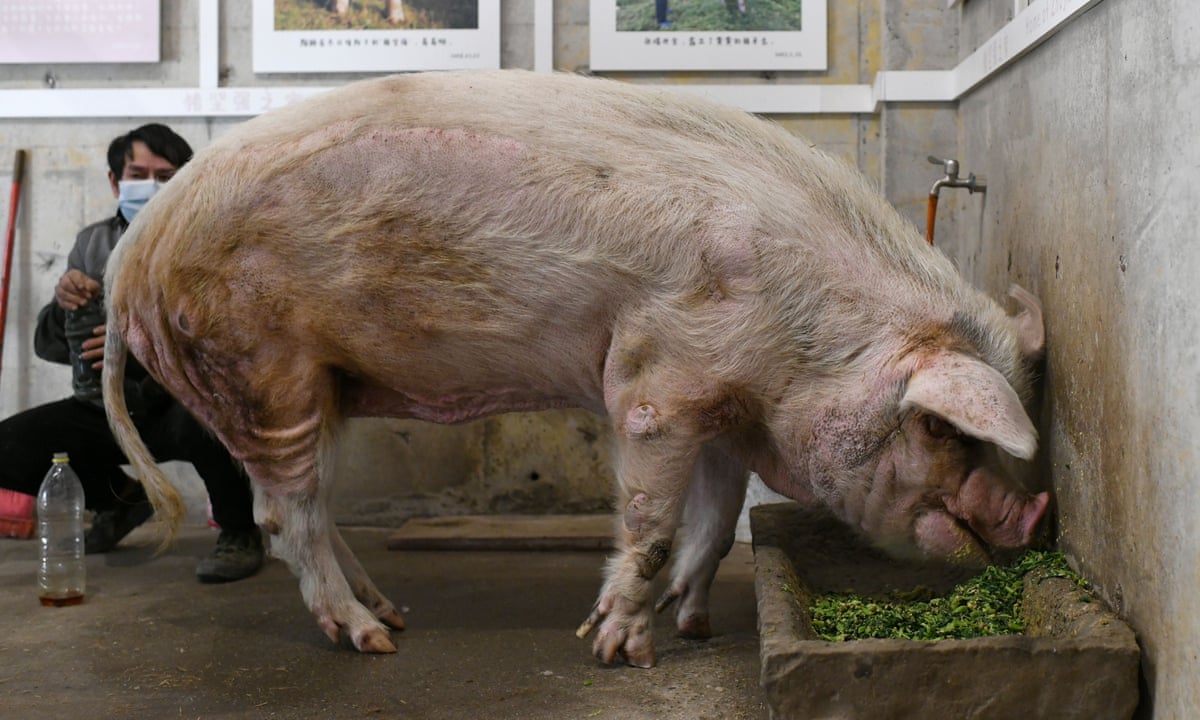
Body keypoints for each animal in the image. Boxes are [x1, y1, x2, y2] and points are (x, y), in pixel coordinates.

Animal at [102, 69, 1048, 668]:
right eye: (939, 428)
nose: (1028, 516)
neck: (808, 340)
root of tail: (128, 261)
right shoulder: (656, 387)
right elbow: (652, 521)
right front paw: (619, 654)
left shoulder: (720, 406)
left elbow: (716, 521)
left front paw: (691, 624)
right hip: (262, 367)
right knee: (283, 515)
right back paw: (371, 642)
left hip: (317, 383)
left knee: (311, 507)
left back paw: (391, 613)